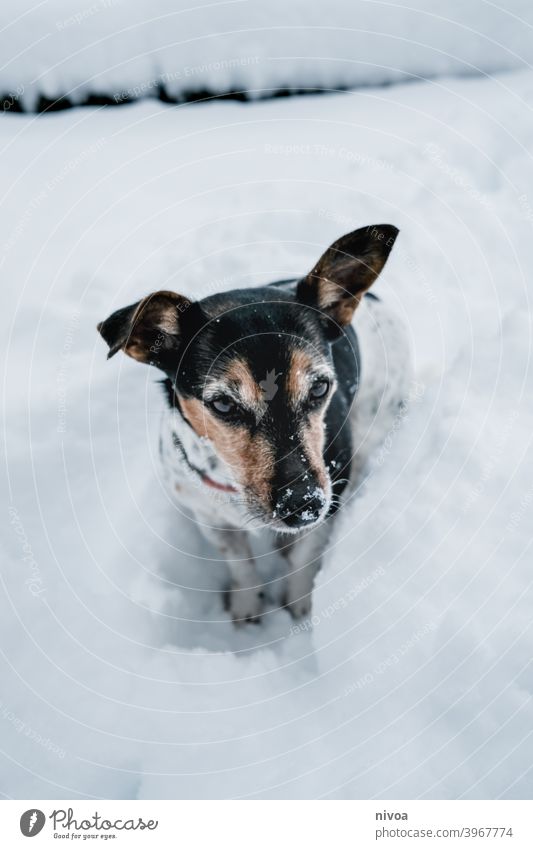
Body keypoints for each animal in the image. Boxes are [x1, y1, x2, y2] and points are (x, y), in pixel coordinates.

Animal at [97, 224, 410, 624]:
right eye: (223, 403)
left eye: (320, 387)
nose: (302, 503)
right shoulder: (212, 520)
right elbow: (241, 564)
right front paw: (247, 606)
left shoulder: (327, 505)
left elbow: (305, 561)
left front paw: (299, 606)